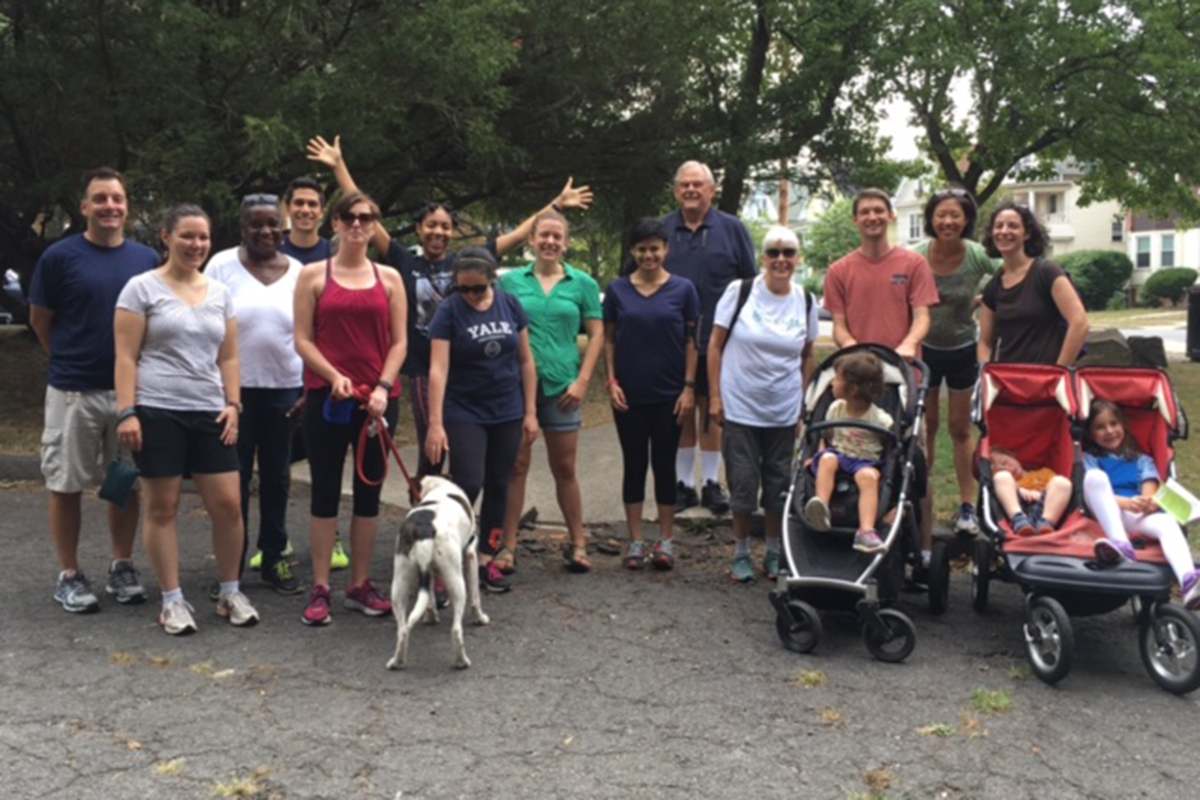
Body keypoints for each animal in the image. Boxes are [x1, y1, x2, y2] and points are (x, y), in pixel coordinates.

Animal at [387, 475, 489, 670]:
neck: (438, 485)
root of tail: (424, 528)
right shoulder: (471, 554)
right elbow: (476, 598)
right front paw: (480, 618)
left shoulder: (428, 571)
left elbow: (430, 599)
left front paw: (431, 616)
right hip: (456, 580)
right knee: (456, 630)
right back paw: (462, 662)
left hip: (399, 583)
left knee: (402, 630)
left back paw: (397, 662)